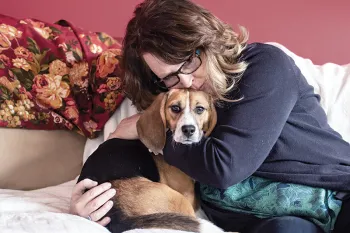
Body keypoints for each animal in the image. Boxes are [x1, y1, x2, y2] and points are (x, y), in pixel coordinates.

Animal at [78, 89, 226, 233]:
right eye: (175, 108)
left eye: (200, 109)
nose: (188, 130)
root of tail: (117, 216)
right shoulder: (187, 194)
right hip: (179, 201)